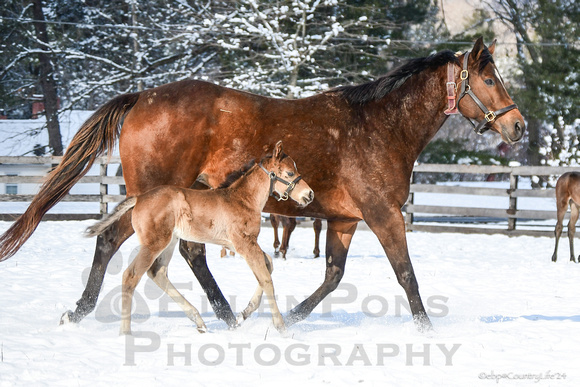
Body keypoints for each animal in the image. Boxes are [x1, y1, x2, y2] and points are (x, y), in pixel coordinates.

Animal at [84, 141, 312, 334]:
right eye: (290, 172)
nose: (309, 195)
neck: (243, 199)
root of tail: (139, 198)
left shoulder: (238, 245)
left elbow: (268, 266)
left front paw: (243, 314)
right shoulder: (244, 244)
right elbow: (266, 278)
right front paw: (280, 326)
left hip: (169, 242)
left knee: (157, 272)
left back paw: (199, 321)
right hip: (154, 243)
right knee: (131, 275)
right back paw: (125, 332)